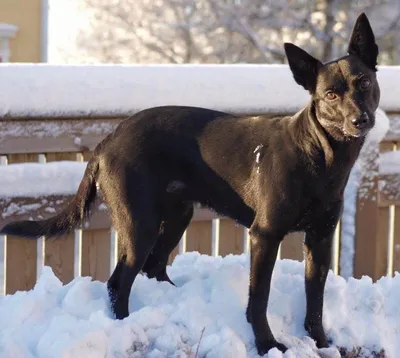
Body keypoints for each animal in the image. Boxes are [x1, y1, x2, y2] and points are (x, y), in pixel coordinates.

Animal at [1, 13, 380, 356]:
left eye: (363, 82)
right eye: (330, 95)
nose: (359, 120)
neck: (320, 156)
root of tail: (108, 140)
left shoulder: (321, 238)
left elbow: (315, 299)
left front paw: (321, 344)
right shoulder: (265, 235)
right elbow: (259, 297)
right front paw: (267, 345)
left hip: (177, 216)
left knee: (153, 267)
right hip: (139, 224)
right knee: (118, 282)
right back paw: (126, 325)